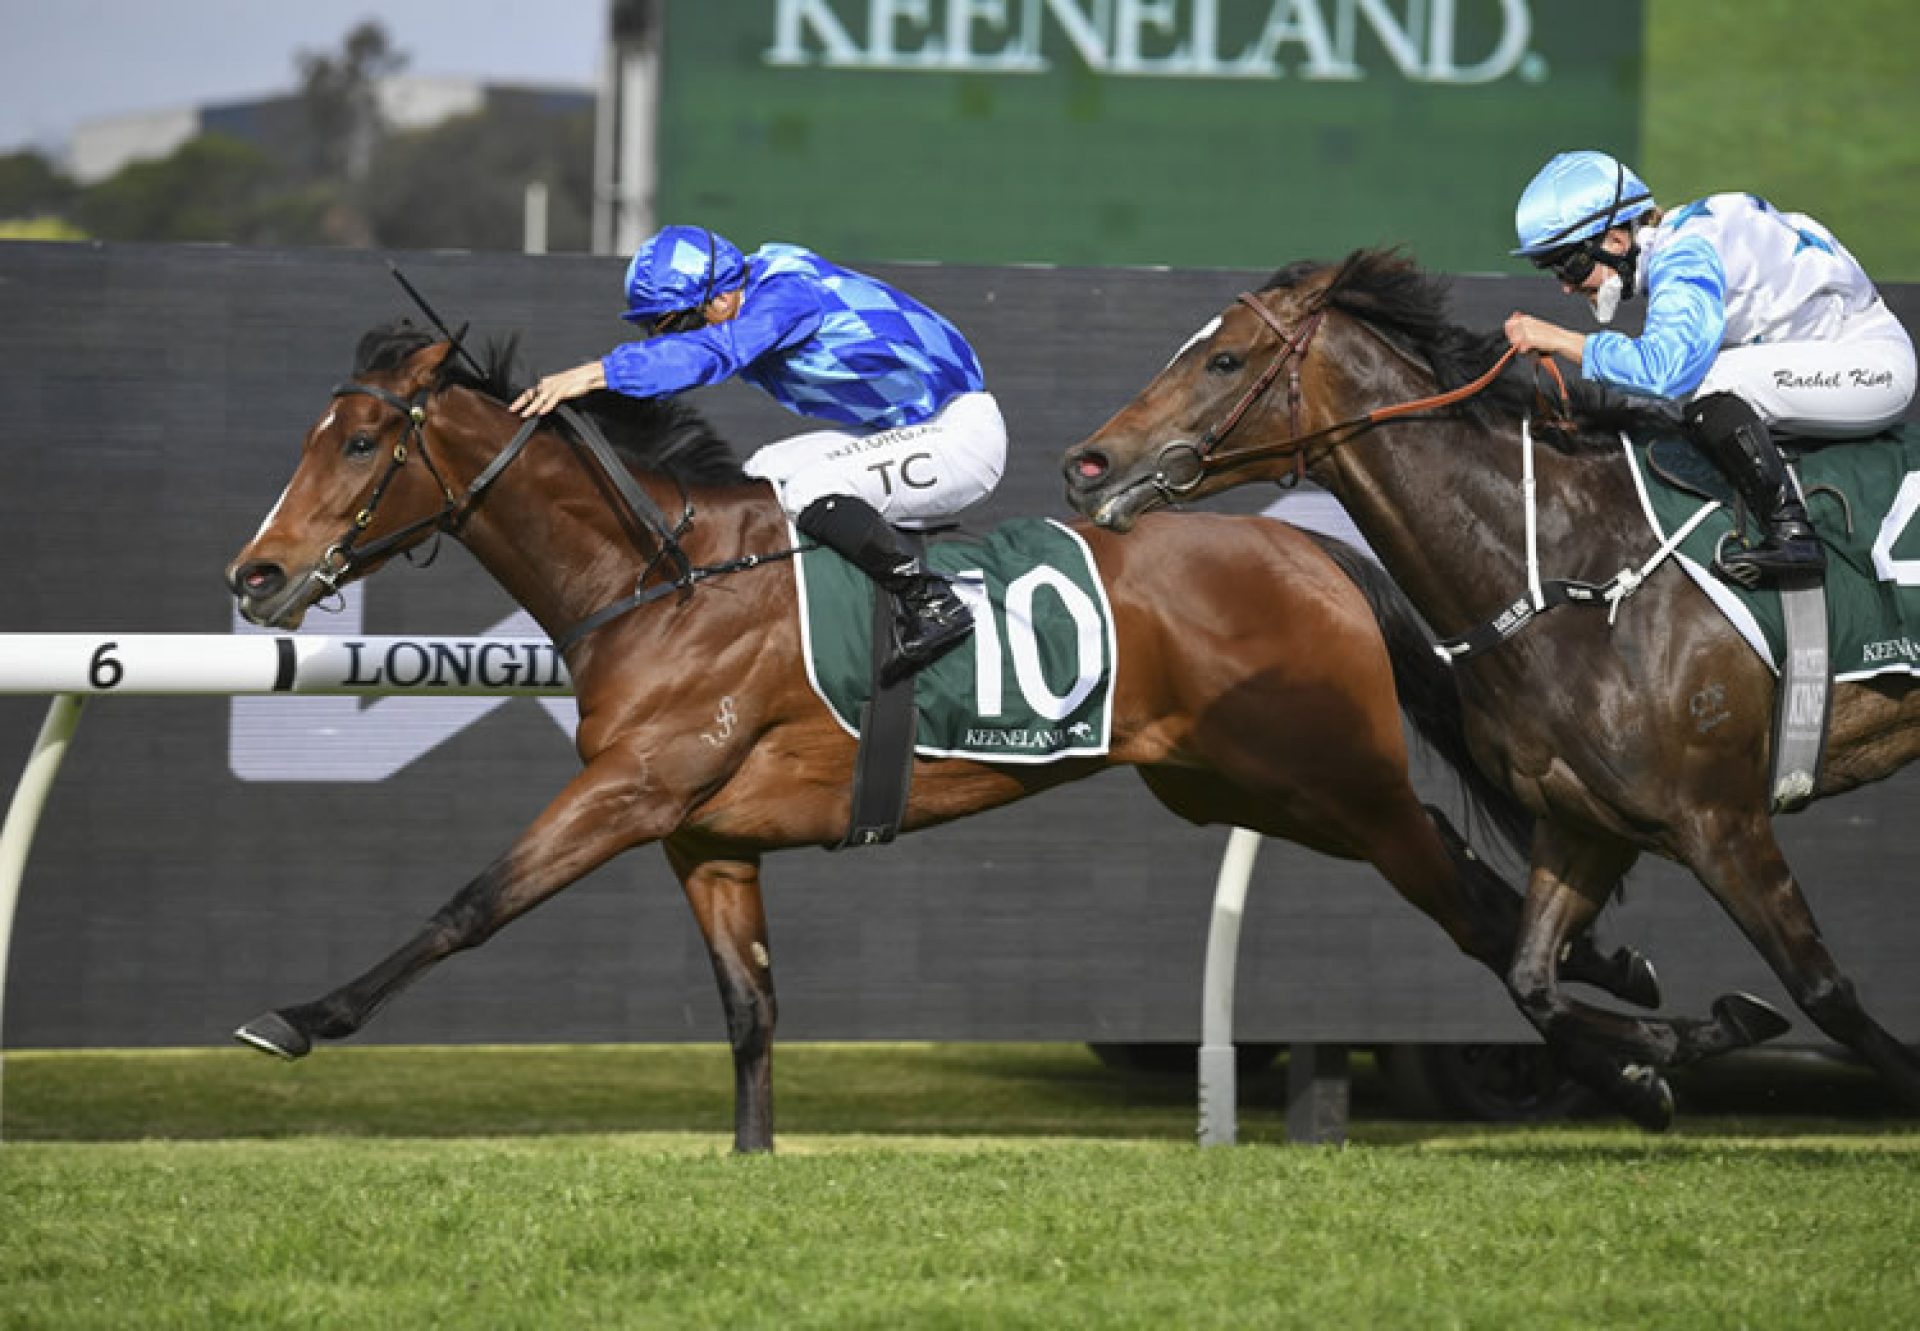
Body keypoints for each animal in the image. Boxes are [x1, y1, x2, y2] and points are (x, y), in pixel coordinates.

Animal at [228, 316, 1666, 1144]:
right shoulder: (704, 835)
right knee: (1480, 881)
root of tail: (1312, 550)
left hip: (1336, 778)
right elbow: (750, 1006)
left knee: (1471, 906)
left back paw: (1638, 1056)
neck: (666, 579)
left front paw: (296, 1014)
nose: (256, 574)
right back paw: (1626, 981)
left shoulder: (633, 791)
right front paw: (752, 1161)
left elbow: (471, 901)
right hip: (1243, 787)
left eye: (358, 441)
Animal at [1059, 245, 1920, 1113]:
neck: (1571, 568)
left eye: (1225, 359)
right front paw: (1652, 1062)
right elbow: (1531, 979)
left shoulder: (1721, 819)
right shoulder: (1586, 820)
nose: (1086, 465)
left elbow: (1825, 992)